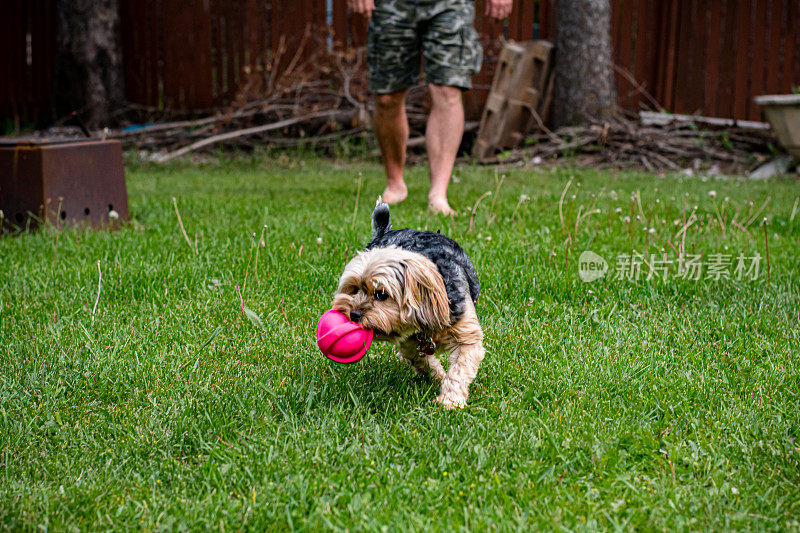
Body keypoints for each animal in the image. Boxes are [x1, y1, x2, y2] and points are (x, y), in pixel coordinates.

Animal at [330, 200, 484, 408]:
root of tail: (384, 233)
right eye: (353, 289)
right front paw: (436, 377)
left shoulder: (467, 335)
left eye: (381, 294)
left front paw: (449, 402)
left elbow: (459, 370)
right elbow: (423, 360)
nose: (353, 314)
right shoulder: (409, 344)